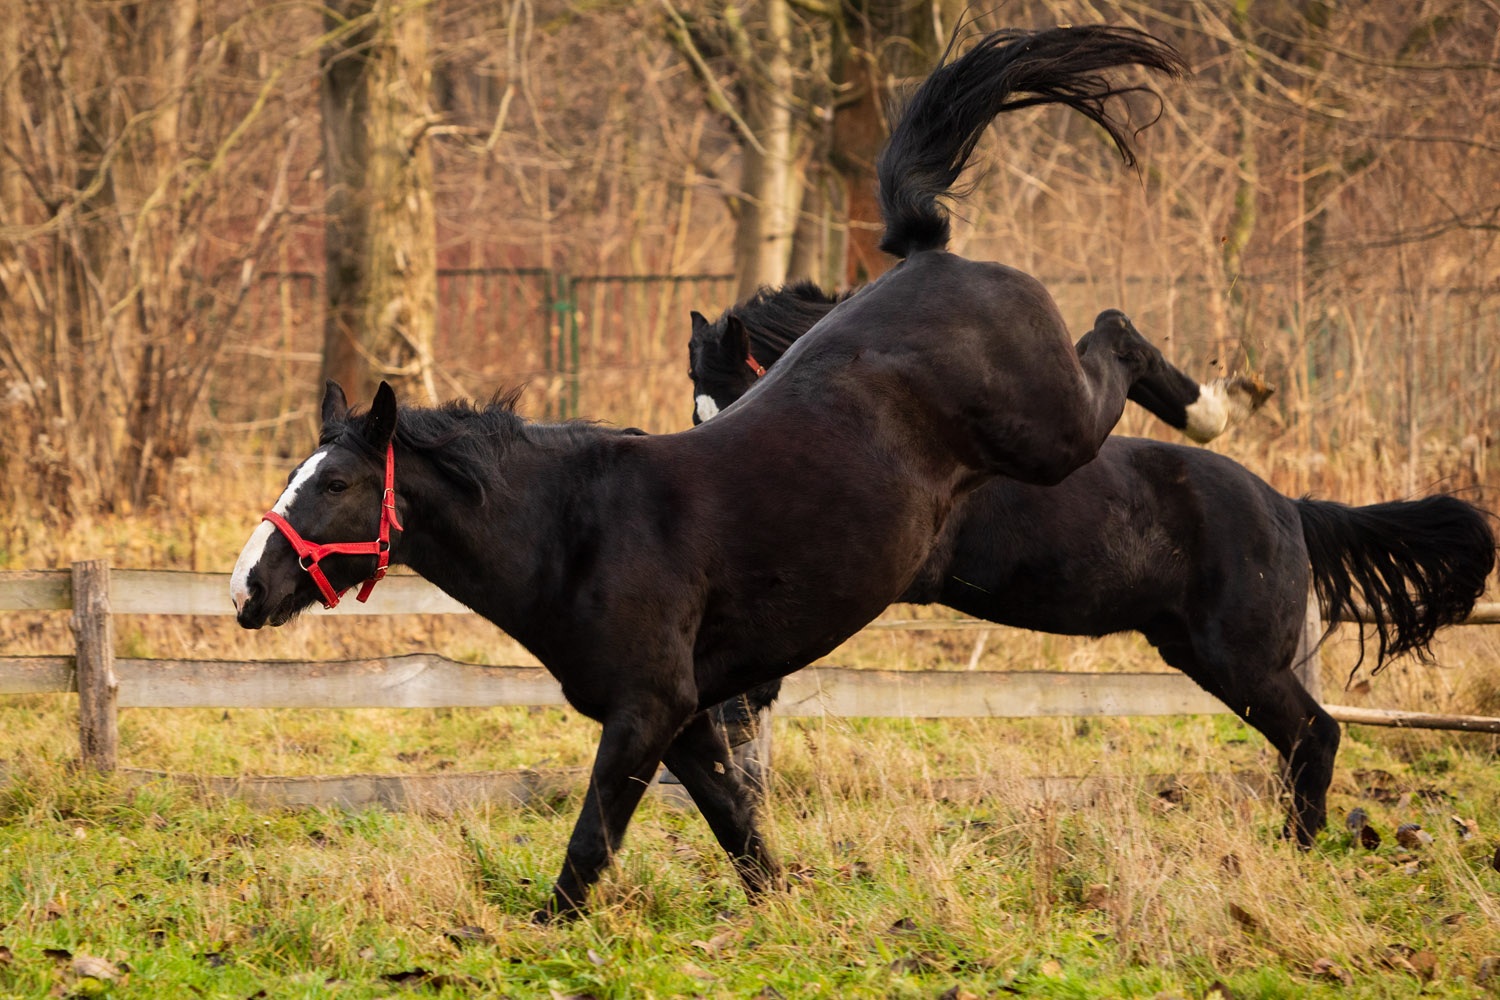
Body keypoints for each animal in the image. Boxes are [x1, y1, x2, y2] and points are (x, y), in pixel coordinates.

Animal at [231, 25, 1206, 917]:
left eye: (336, 485)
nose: (246, 588)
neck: (576, 530)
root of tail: (931, 253)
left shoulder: (646, 710)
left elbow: (594, 841)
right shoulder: (687, 717)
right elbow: (738, 826)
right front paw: (789, 911)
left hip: (1054, 431)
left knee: (1116, 335)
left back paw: (1212, 404)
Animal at [690, 284, 1500, 851]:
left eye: (735, 391)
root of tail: (1290, 507)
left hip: (1238, 658)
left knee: (1317, 735)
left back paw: (1299, 852)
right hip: (1201, 655)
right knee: (1305, 739)